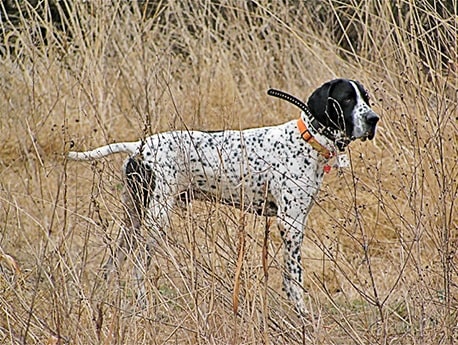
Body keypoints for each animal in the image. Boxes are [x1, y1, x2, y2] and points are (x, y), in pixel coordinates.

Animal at [66, 78, 378, 314]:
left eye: (367, 98)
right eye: (347, 99)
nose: (373, 119)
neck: (308, 141)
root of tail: (138, 147)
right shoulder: (290, 224)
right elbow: (294, 277)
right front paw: (301, 313)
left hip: (133, 218)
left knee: (114, 260)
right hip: (155, 221)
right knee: (138, 268)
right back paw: (143, 305)